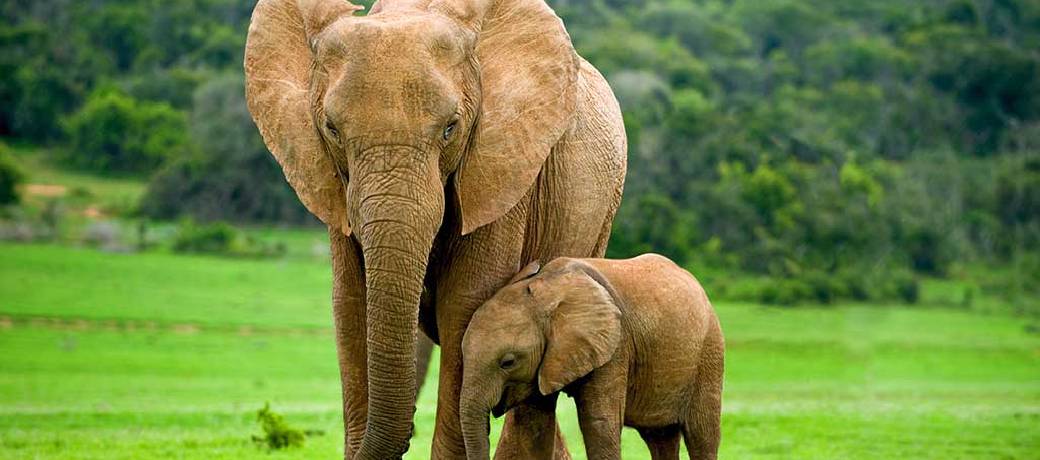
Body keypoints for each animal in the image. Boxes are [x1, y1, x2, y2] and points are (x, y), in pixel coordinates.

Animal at [243, 0, 626, 457]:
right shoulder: (334, 185)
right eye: (331, 129)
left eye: (450, 128)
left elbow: (465, 306)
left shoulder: (501, 171)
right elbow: (351, 306)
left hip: (600, 215)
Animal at [460, 255, 725, 460]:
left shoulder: (615, 346)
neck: (546, 291)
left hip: (709, 352)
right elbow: (536, 425)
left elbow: (599, 424)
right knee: (660, 436)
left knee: (702, 434)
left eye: (508, 362)